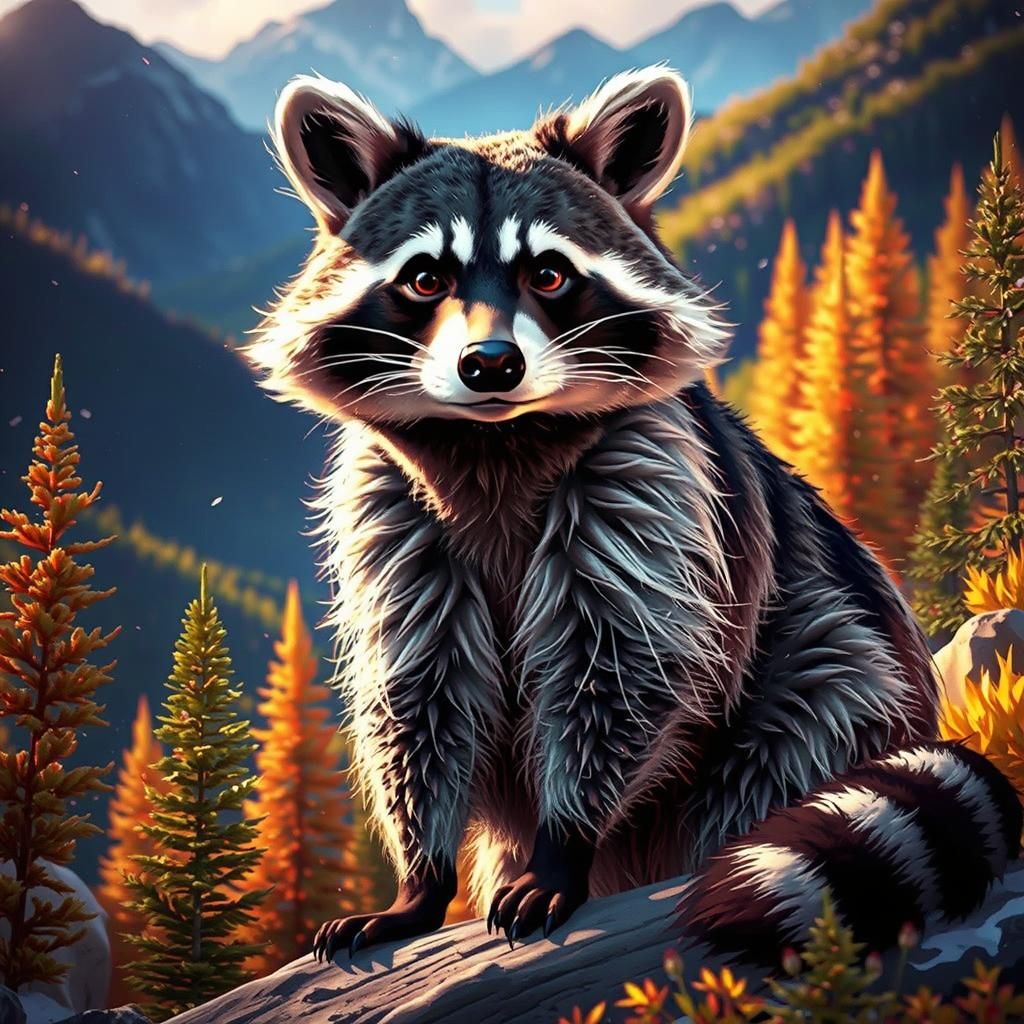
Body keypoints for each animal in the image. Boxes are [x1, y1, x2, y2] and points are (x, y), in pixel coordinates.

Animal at [245, 66, 1022, 966]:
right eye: (425, 278)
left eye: (548, 274)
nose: (490, 365)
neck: (494, 446)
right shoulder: (396, 518)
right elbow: (420, 693)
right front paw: (421, 879)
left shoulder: (649, 486)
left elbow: (619, 671)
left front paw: (562, 844)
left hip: (827, 685)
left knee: (809, 704)